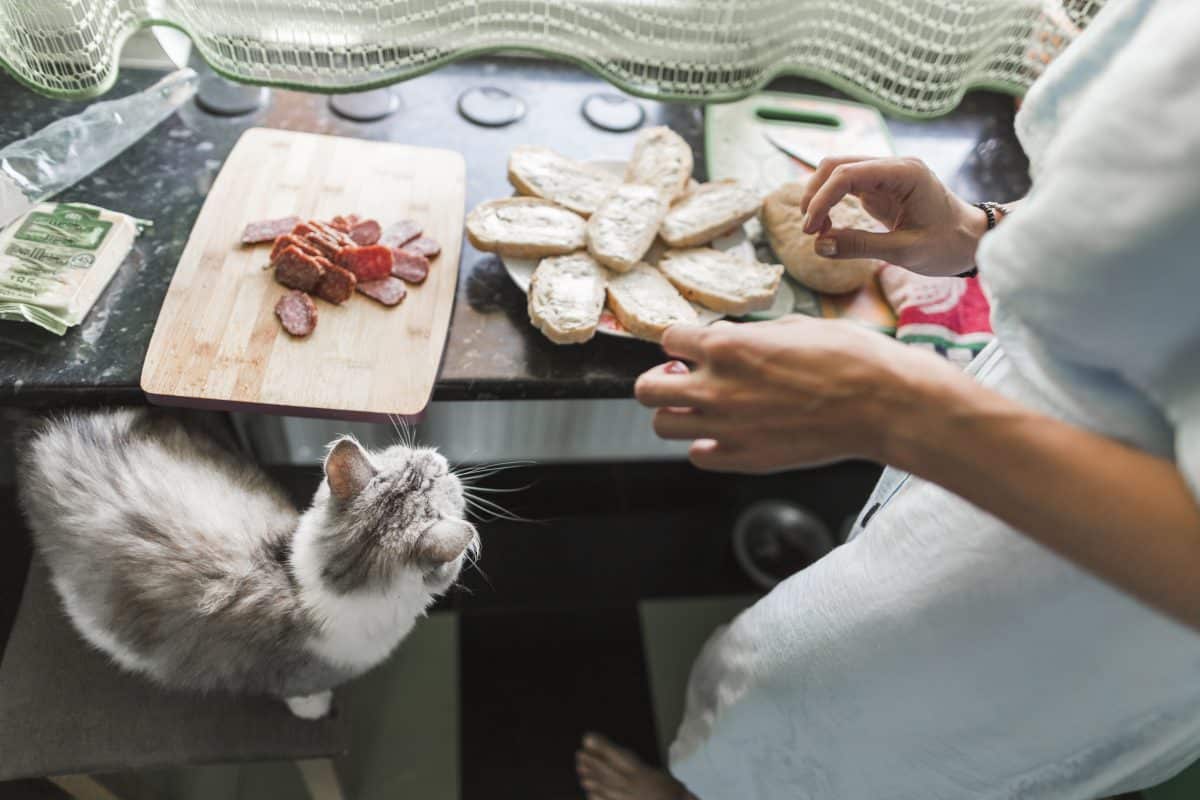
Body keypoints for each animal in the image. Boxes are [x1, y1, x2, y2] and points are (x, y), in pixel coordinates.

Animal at [17, 412, 477, 719]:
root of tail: (48, 441)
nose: (438, 456)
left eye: (413, 458)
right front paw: (318, 707)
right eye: (438, 477)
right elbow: (308, 697)